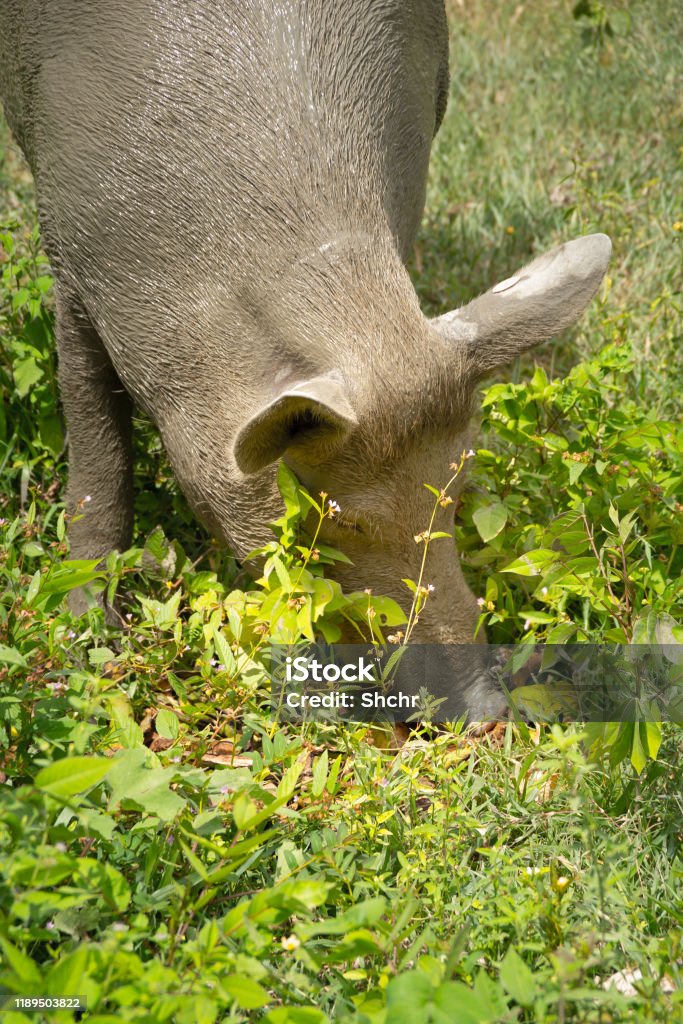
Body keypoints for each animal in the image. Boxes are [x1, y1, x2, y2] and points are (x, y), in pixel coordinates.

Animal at [0, 2, 610, 720]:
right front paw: (86, 641)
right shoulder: (72, 263)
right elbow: (97, 452)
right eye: (343, 520)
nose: (488, 714)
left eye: (455, 494)